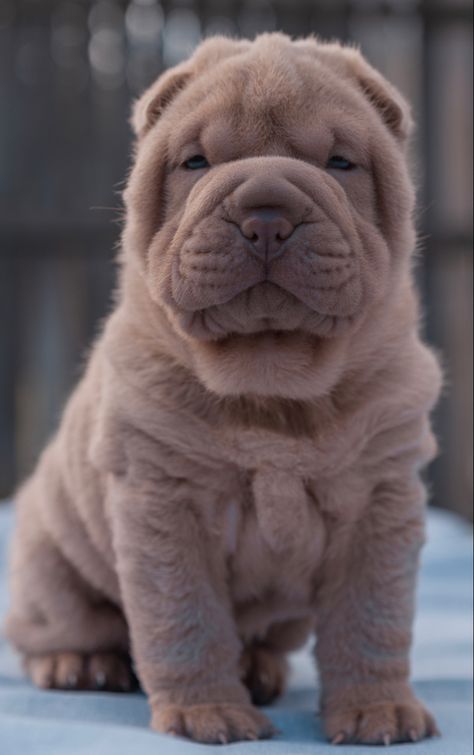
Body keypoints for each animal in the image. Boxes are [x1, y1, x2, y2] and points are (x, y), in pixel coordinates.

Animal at [5, 34, 440, 744]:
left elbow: (370, 618)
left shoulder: (380, 499)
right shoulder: (165, 501)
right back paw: (81, 664)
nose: (266, 213)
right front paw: (207, 713)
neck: (274, 384)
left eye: (340, 162)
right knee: (57, 625)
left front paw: (378, 709)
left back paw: (260, 669)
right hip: (49, 556)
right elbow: (186, 616)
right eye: (195, 162)